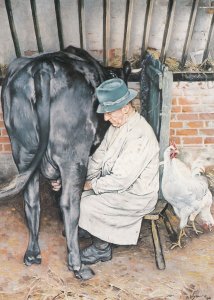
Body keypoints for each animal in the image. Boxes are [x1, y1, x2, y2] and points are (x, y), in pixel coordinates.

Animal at [0, 45, 130, 280]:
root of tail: (43, 66)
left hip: (23, 152)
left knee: (31, 201)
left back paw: (32, 254)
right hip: (73, 157)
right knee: (70, 203)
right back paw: (77, 265)